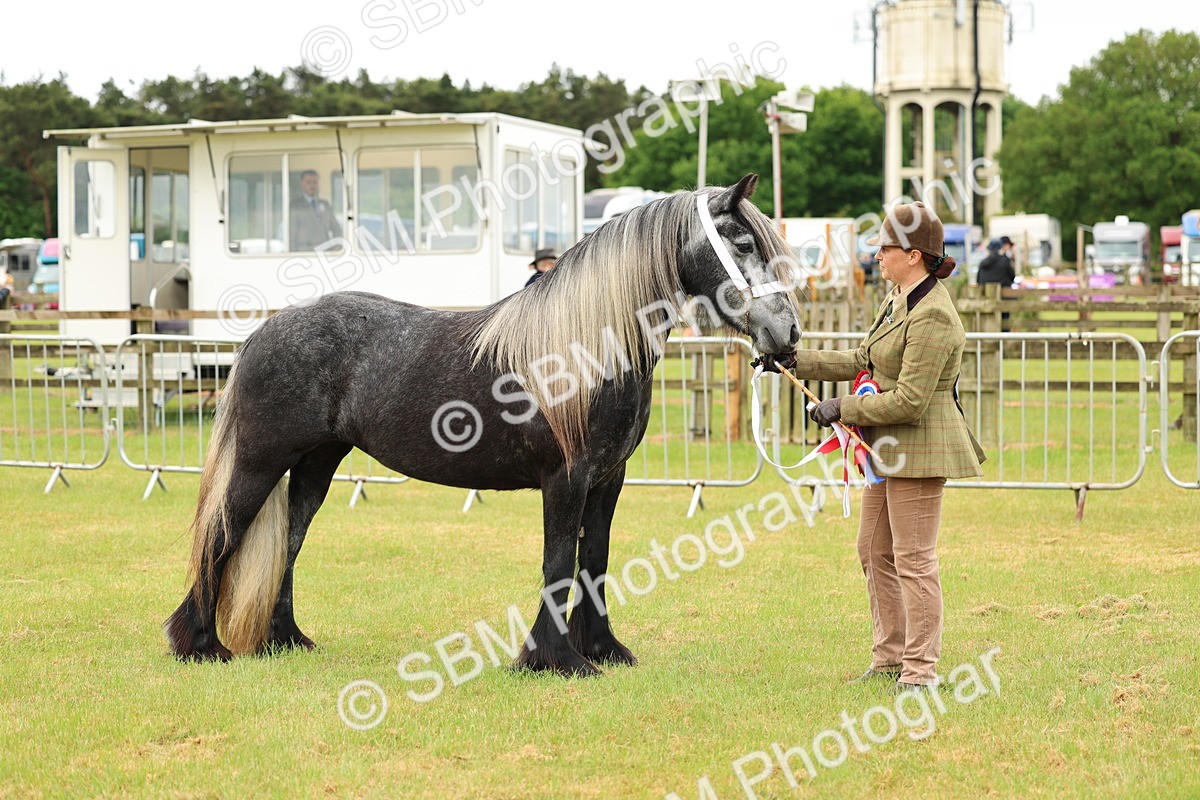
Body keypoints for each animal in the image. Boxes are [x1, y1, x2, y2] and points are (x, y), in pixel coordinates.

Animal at [164, 173, 802, 677]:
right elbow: (558, 564)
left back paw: (286, 641)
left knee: (290, 542)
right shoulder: (565, 479)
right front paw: (555, 660)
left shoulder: (608, 479)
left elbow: (594, 561)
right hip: (260, 462)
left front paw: (603, 649)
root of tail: (263, 332)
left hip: (315, 466)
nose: (788, 335)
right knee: (222, 534)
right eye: (744, 242)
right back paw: (200, 645)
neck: (586, 348)